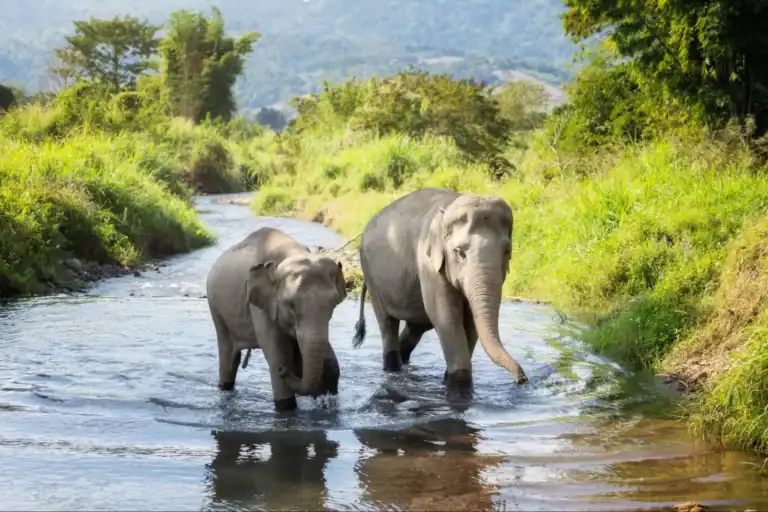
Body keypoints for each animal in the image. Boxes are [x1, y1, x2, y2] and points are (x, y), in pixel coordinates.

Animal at [206, 227, 347, 411]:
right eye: (291, 305)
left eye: (333, 304)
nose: (283, 370)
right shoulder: (260, 305)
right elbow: (277, 353)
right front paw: (285, 405)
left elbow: (328, 362)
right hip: (216, 308)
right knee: (228, 354)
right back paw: (225, 387)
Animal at [352, 187, 528, 387]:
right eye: (460, 253)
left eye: (507, 251)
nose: (521, 379)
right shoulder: (428, 265)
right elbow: (446, 316)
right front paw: (457, 382)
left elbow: (471, 321)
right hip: (371, 275)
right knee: (387, 323)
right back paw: (392, 368)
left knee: (416, 327)